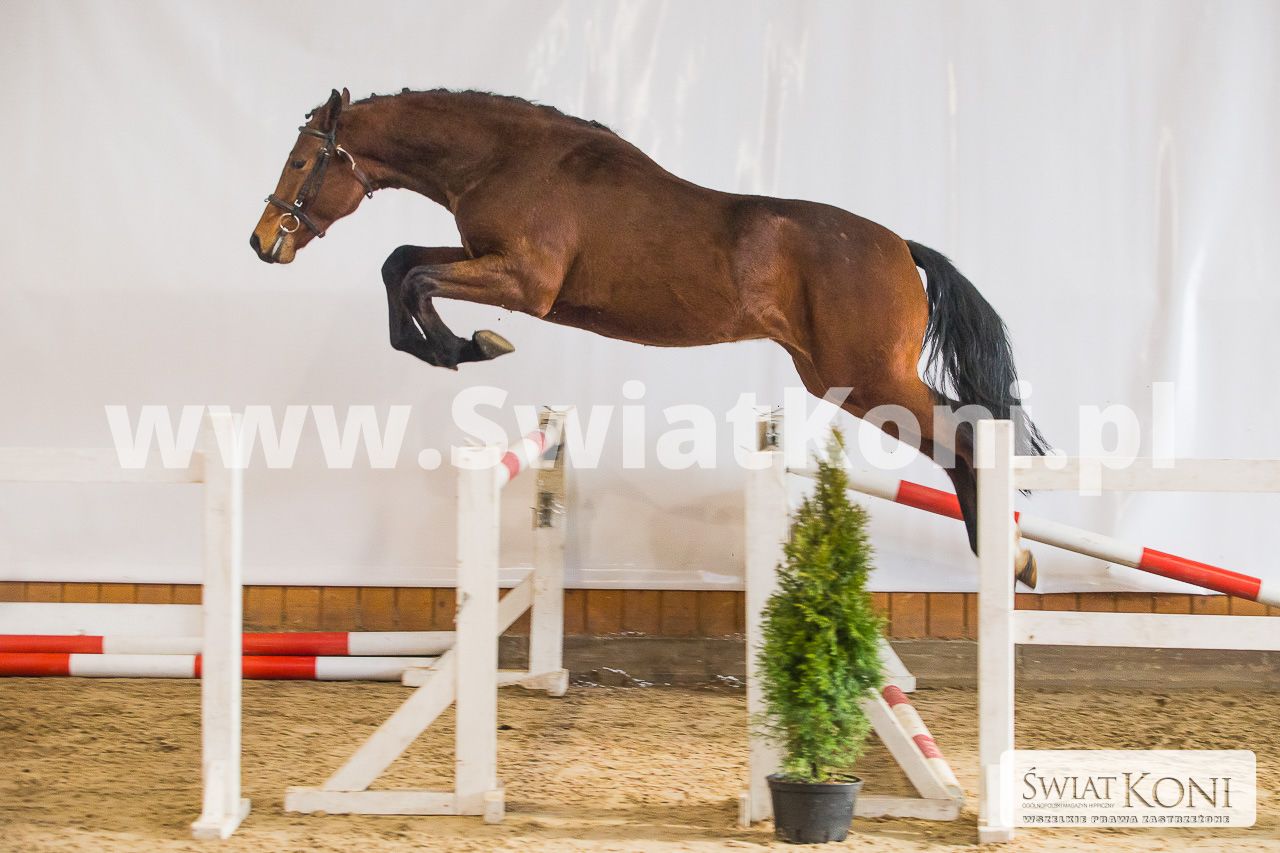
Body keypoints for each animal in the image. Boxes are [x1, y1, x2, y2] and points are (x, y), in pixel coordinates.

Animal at [250, 88, 1048, 585]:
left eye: (300, 160)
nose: (263, 242)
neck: (505, 159)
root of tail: (900, 247)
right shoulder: (486, 261)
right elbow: (401, 264)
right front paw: (449, 345)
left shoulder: (523, 283)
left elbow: (416, 279)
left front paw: (465, 347)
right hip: (841, 381)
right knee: (957, 443)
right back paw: (1006, 558)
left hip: (872, 379)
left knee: (967, 434)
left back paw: (1010, 558)